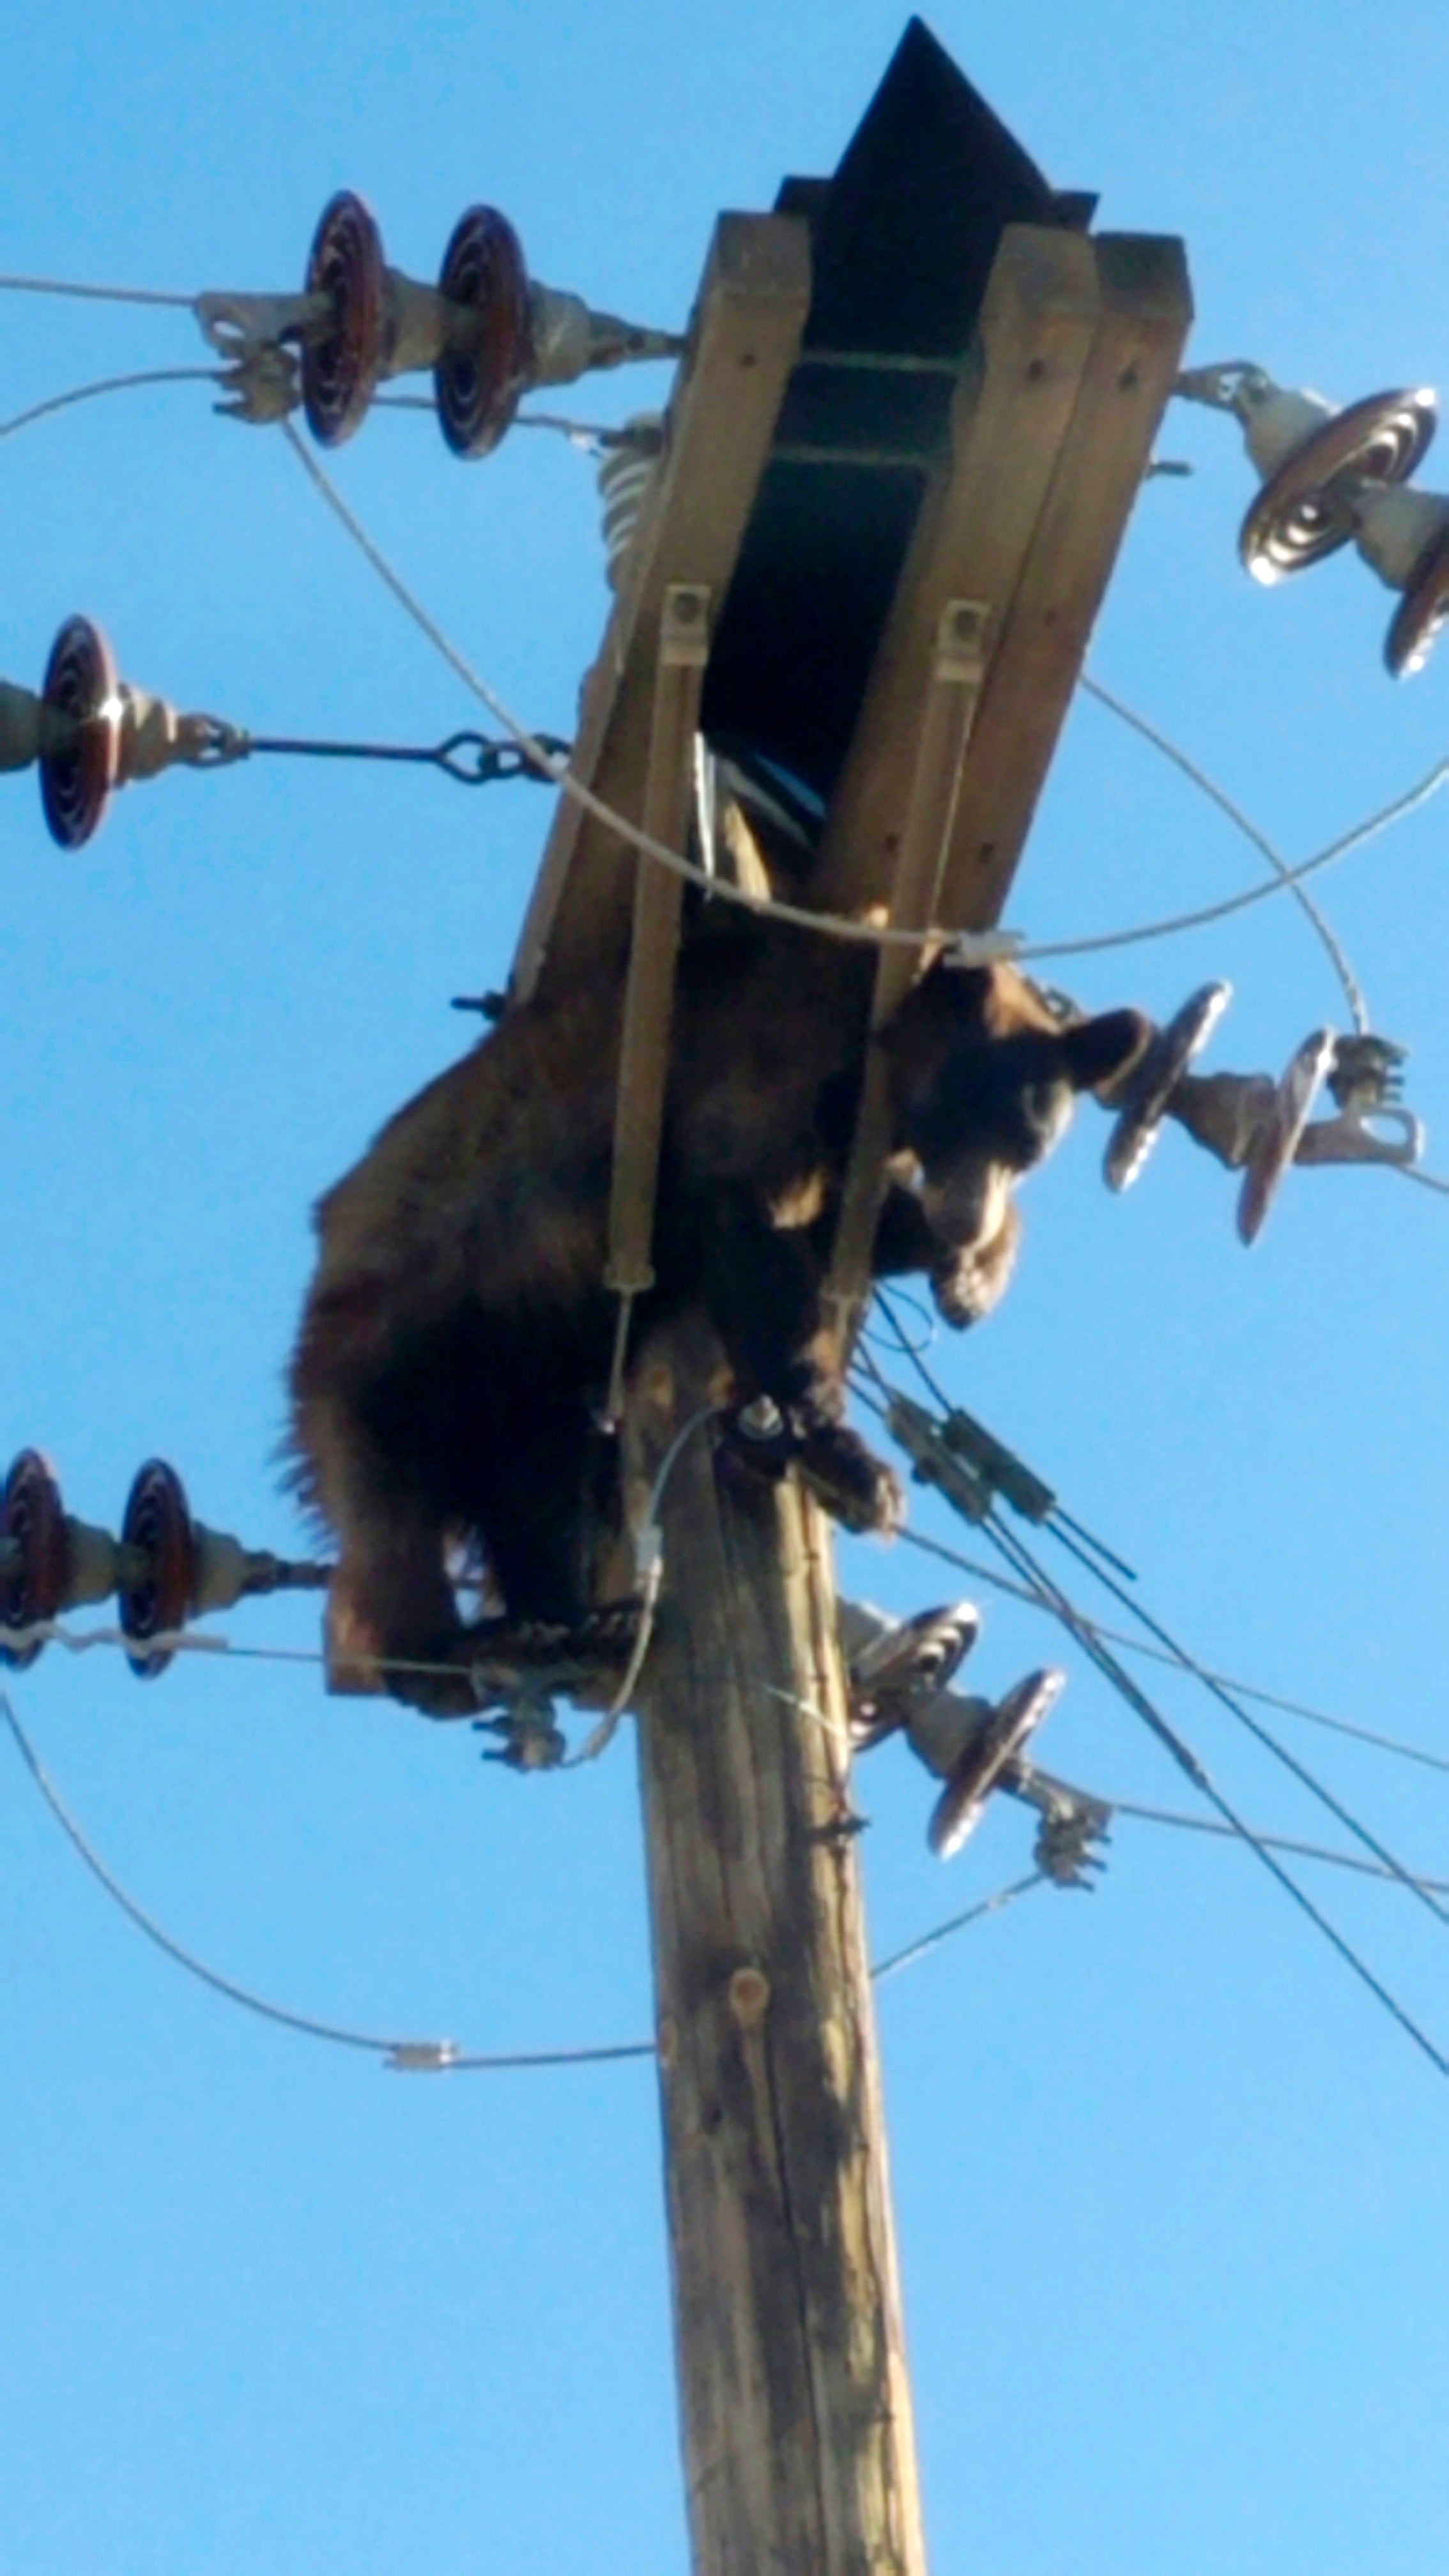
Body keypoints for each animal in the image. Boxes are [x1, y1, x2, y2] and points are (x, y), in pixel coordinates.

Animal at [290, 880, 1149, 1710]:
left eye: (1028, 1148)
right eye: (964, 1115)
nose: (967, 1217)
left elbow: (834, 1227)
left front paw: (972, 1272)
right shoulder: (767, 1063)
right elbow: (750, 1225)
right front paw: (842, 1455)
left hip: (520, 1380)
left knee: (538, 1486)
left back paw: (567, 1624)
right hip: (402, 1342)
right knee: (391, 1517)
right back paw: (438, 1657)